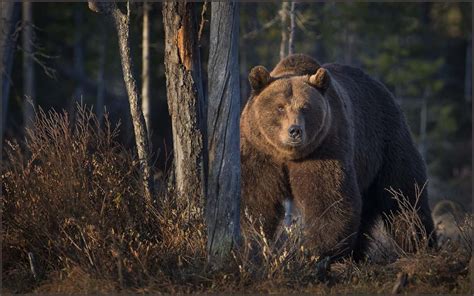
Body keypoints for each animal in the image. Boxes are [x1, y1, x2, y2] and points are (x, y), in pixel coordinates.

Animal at [241, 53, 436, 260]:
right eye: (280, 107)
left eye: (305, 107)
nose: (294, 131)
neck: (287, 154)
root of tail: (382, 88)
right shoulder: (260, 151)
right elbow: (256, 199)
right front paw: (252, 243)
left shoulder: (325, 146)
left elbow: (328, 199)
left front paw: (320, 252)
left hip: (387, 143)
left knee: (403, 196)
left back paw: (420, 243)